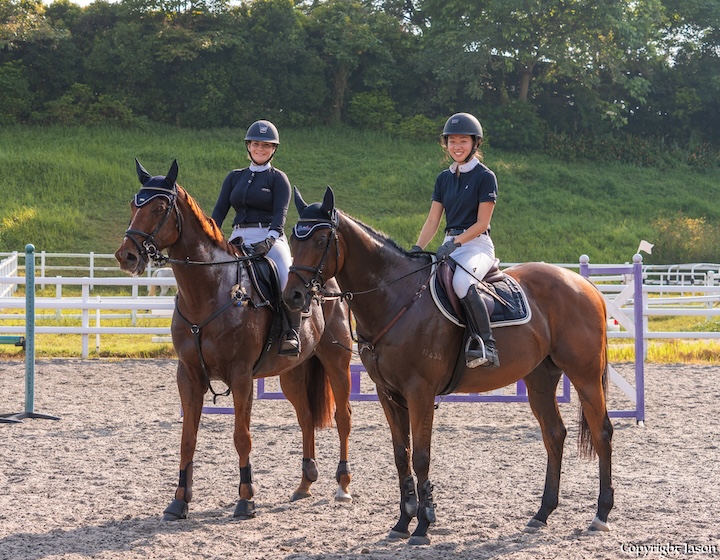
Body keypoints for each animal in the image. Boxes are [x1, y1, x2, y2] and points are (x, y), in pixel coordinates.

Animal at [115, 161, 354, 520]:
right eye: (133, 205)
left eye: (158, 208)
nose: (126, 256)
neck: (210, 290)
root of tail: (326, 280)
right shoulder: (188, 375)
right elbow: (188, 438)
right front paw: (179, 501)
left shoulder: (240, 376)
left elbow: (242, 437)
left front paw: (246, 499)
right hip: (292, 372)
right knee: (306, 417)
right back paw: (305, 483)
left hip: (337, 363)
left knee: (343, 417)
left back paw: (342, 486)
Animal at [284, 187, 616, 544]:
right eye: (291, 239)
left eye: (321, 240)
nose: (292, 296)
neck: (395, 297)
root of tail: (584, 284)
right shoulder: (388, 393)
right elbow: (401, 455)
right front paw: (403, 521)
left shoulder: (420, 392)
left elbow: (421, 456)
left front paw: (423, 524)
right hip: (540, 377)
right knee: (554, 433)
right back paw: (542, 514)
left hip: (584, 375)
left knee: (601, 432)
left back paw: (601, 514)